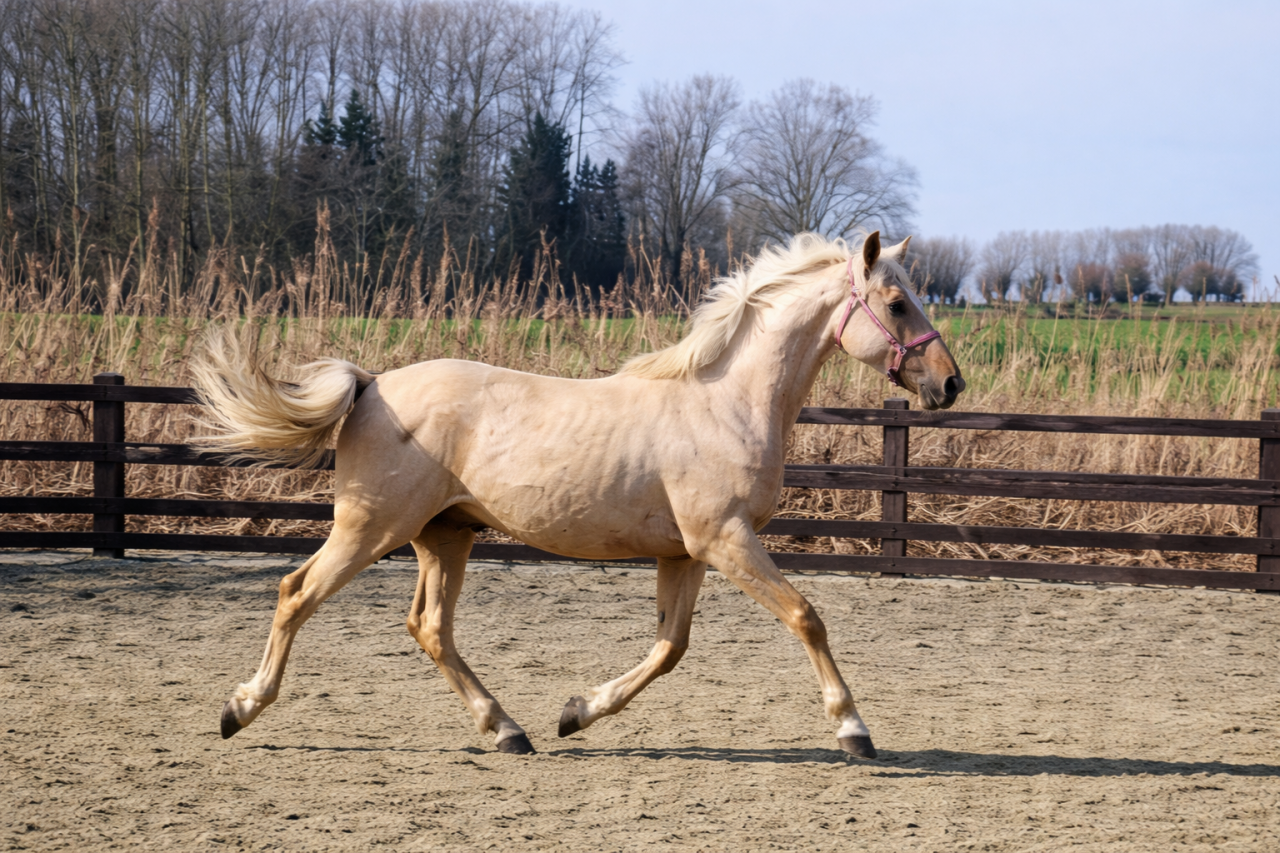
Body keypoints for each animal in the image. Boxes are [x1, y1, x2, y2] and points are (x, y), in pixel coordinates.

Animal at [195, 231, 964, 758]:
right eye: (897, 303)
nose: (950, 383)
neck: (725, 402)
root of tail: (372, 384)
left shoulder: (686, 553)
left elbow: (670, 647)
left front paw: (576, 712)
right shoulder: (726, 538)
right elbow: (806, 617)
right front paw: (854, 729)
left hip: (445, 535)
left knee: (431, 628)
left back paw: (508, 729)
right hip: (370, 528)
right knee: (297, 592)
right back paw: (239, 708)